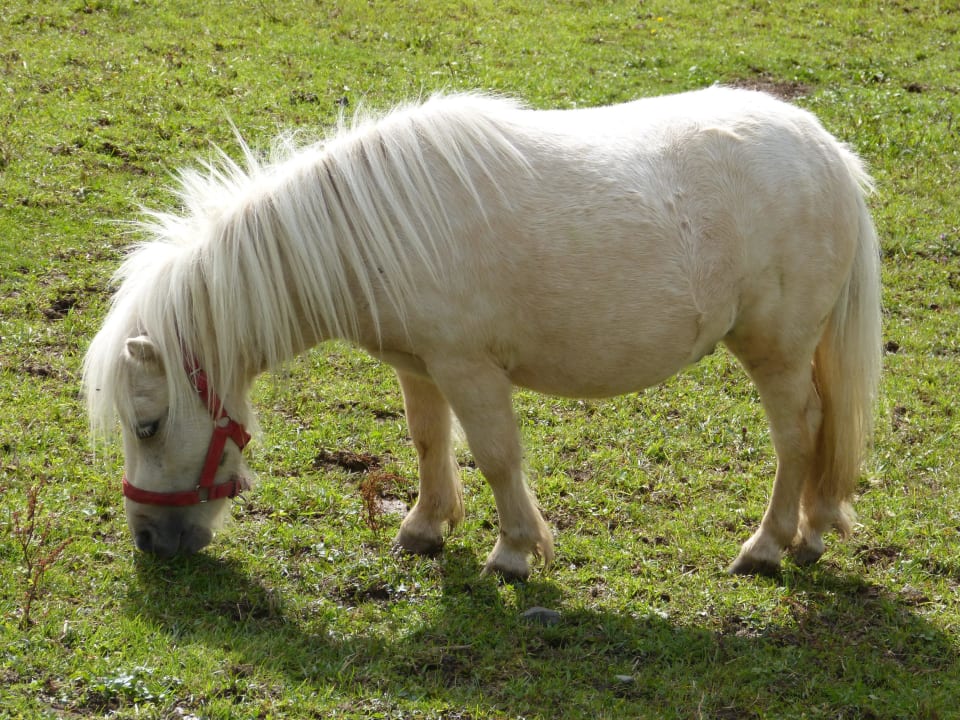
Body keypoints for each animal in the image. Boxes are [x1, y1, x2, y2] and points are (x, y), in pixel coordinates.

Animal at [82, 86, 882, 579]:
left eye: (148, 425)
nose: (149, 541)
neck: (371, 232)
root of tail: (829, 153)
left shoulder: (468, 369)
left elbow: (497, 456)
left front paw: (515, 553)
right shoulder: (418, 366)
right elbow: (429, 441)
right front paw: (424, 528)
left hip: (776, 352)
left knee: (799, 435)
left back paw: (768, 546)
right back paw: (810, 533)